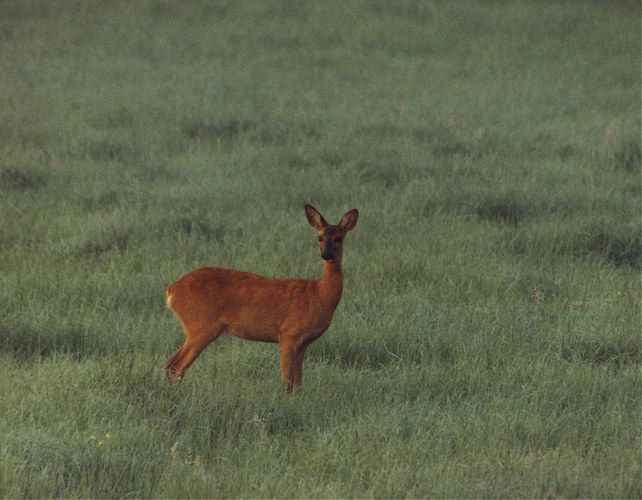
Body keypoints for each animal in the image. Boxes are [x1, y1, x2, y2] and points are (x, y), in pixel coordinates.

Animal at [164, 205, 356, 392]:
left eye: (339, 238)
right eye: (320, 237)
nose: (326, 255)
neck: (319, 295)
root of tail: (172, 290)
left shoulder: (303, 343)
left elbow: (298, 383)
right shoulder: (288, 333)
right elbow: (287, 382)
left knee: (171, 364)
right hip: (201, 326)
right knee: (175, 365)